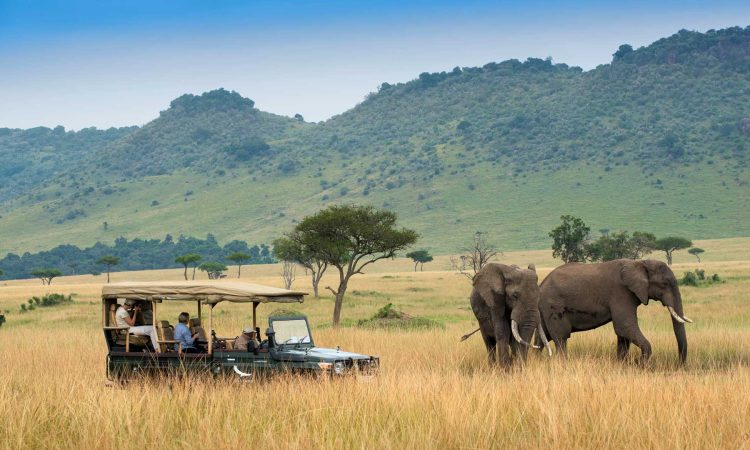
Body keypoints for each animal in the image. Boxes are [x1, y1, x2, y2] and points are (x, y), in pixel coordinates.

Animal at [538, 259, 692, 364]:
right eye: (664, 284)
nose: (679, 365)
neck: (640, 263)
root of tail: (541, 284)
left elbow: (623, 334)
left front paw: (622, 364)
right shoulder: (621, 293)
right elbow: (624, 327)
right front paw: (641, 365)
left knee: (541, 338)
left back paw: (535, 360)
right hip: (553, 305)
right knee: (561, 338)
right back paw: (562, 363)